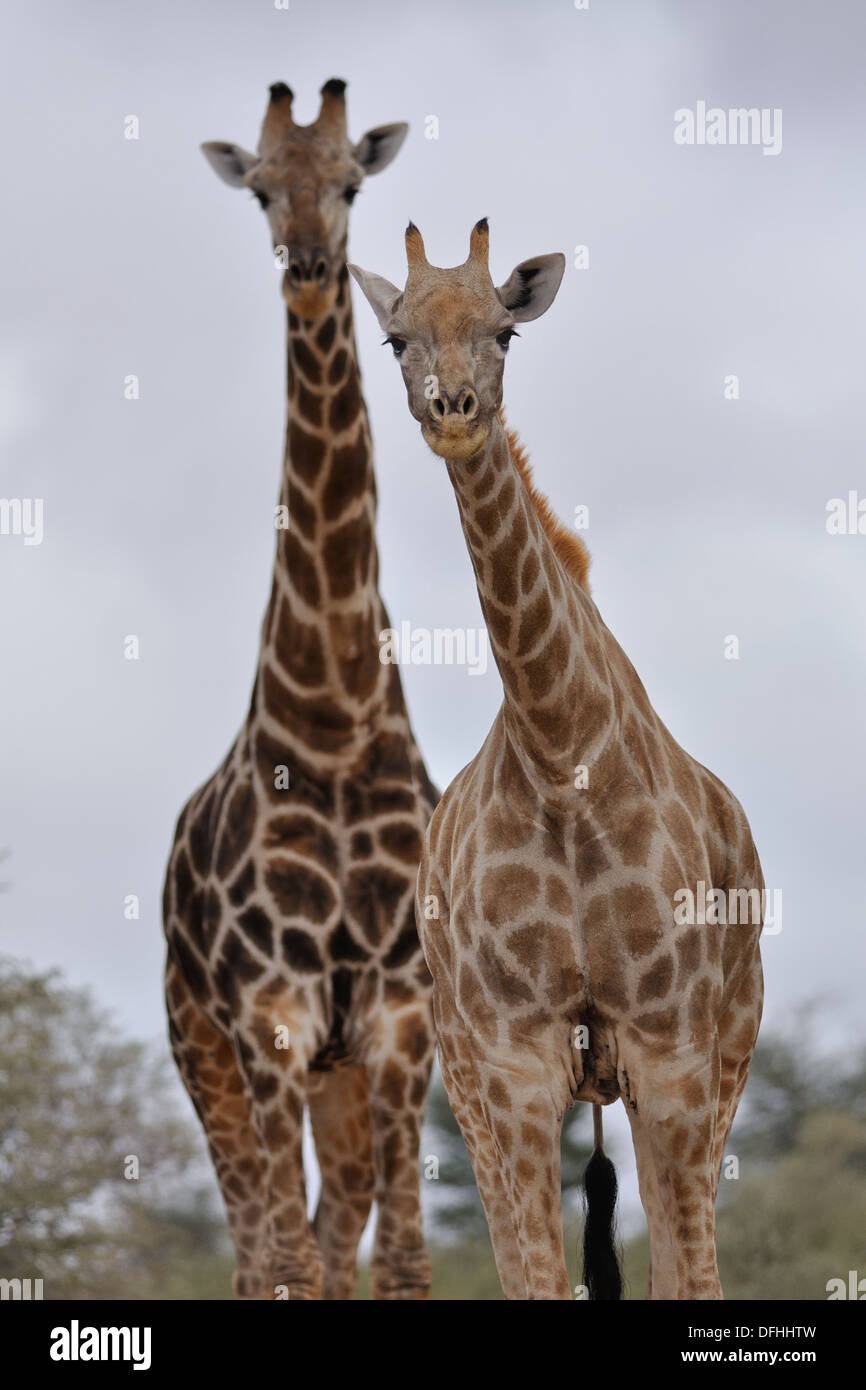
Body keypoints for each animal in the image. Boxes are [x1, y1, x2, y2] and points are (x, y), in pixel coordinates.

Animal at [353, 222, 767, 1295]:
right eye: (396, 339)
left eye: (505, 330)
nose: (454, 414)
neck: (559, 751)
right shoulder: (512, 1069)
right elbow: (539, 1277)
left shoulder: (674, 1055)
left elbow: (687, 1278)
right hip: (464, 1080)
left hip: (731, 1049)